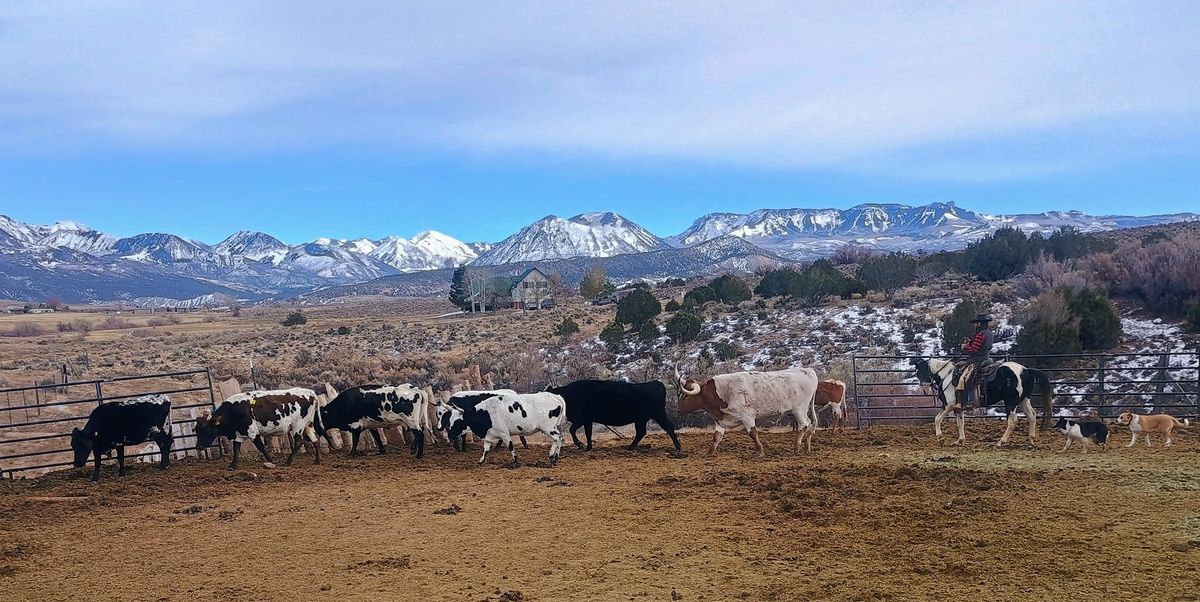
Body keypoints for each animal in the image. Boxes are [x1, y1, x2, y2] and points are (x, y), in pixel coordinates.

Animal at [547, 381, 681, 450]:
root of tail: (656, 383)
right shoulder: (587, 420)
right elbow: (588, 433)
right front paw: (588, 447)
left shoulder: (581, 419)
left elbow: (572, 430)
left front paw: (580, 444)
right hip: (641, 419)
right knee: (641, 432)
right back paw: (630, 447)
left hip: (658, 414)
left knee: (668, 427)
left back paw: (678, 447)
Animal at [681, 366, 820, 455]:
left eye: (686, 395)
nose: (679, 408)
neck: (721, 391)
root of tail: (807, 371)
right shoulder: (721, 421)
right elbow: (717, 437)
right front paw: (709, 452)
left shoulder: (746, 417)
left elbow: (753, 433)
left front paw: (760, 451)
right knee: (809, 425)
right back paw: (806, 447)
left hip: (799, 409)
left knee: (805, 425)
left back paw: (797, 448)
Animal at [912, 357, 1056, 446]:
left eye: (918, 372)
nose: (923, 389)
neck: (946, 376)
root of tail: (1026, 370)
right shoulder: (958, 408)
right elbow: (960, 424)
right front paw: (960, 440)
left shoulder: (948, 405)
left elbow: (937, 419)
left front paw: (940, 438)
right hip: (1023, 400)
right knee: (1032, 415)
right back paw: (1031, 440)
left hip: (1011, 402)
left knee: (1012, 421)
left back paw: (1001, 442)